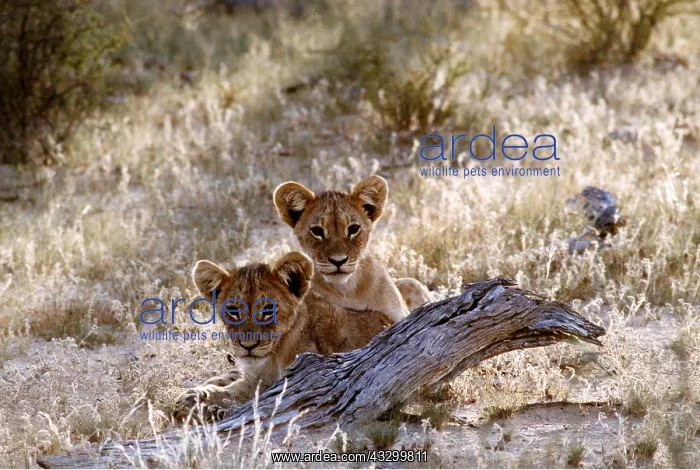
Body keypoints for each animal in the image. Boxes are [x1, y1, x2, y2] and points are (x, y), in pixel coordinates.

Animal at [173, 251, 392, 422]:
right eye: (233, 311)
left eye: (268, 310)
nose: (248, 346)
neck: (273, 356)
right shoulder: (253, 375)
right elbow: (228, 385)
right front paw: (192, 398)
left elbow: (242, 394)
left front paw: (205, 406)